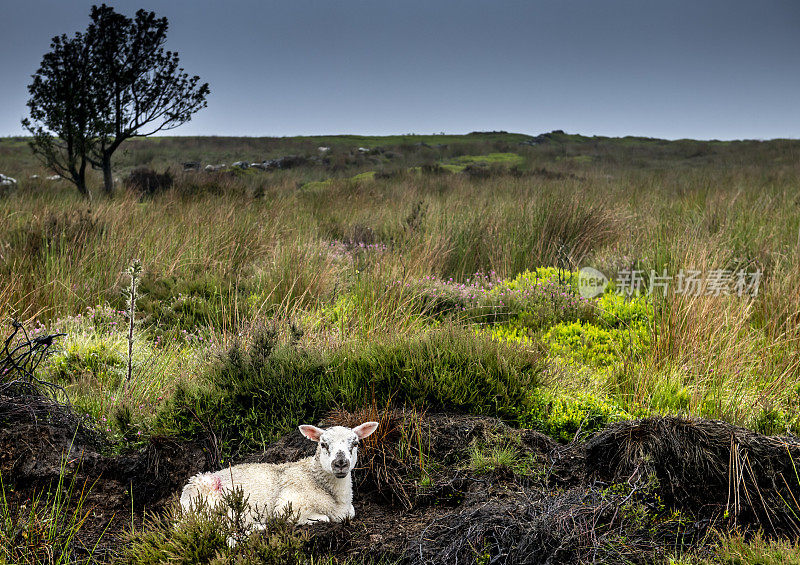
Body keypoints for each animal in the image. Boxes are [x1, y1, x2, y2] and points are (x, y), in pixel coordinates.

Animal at [180, 420, 378, 528]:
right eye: (323, 444)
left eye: (355, 443)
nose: (340, 463)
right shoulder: (288, 506)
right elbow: (324, 518)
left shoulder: (347, 509)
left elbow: (350, 513)